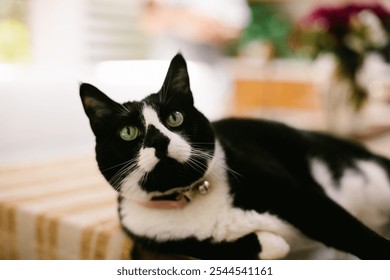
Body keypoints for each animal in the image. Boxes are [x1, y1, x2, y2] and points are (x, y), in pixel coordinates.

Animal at [79, 53, 390, 260]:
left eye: (175, 117)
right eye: (128, 132)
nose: (158, 140)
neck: (191, 195)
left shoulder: (299, 195)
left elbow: (349, 230)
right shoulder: (159, 240)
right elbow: (226, 248)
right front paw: (272, 242)